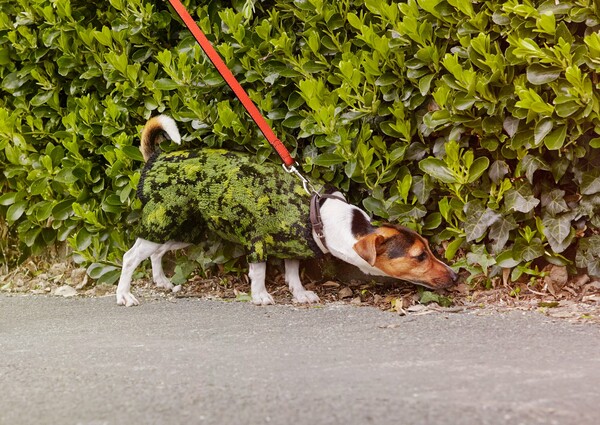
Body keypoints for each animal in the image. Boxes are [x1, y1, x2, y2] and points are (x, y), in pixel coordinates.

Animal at [115, 114, 458, 306]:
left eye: (429, 249)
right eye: (419, 257)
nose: (455, 275)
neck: (324, 218)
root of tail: (156, 158)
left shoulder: (294, 247)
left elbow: (293, 272)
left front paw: (300, 293)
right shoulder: (258, 244)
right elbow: (259, 272)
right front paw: (260, 296)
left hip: (184, 231)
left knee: (156, 253)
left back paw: (161, 281)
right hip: (163, 220)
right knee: (130, 257)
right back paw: (124, 295)